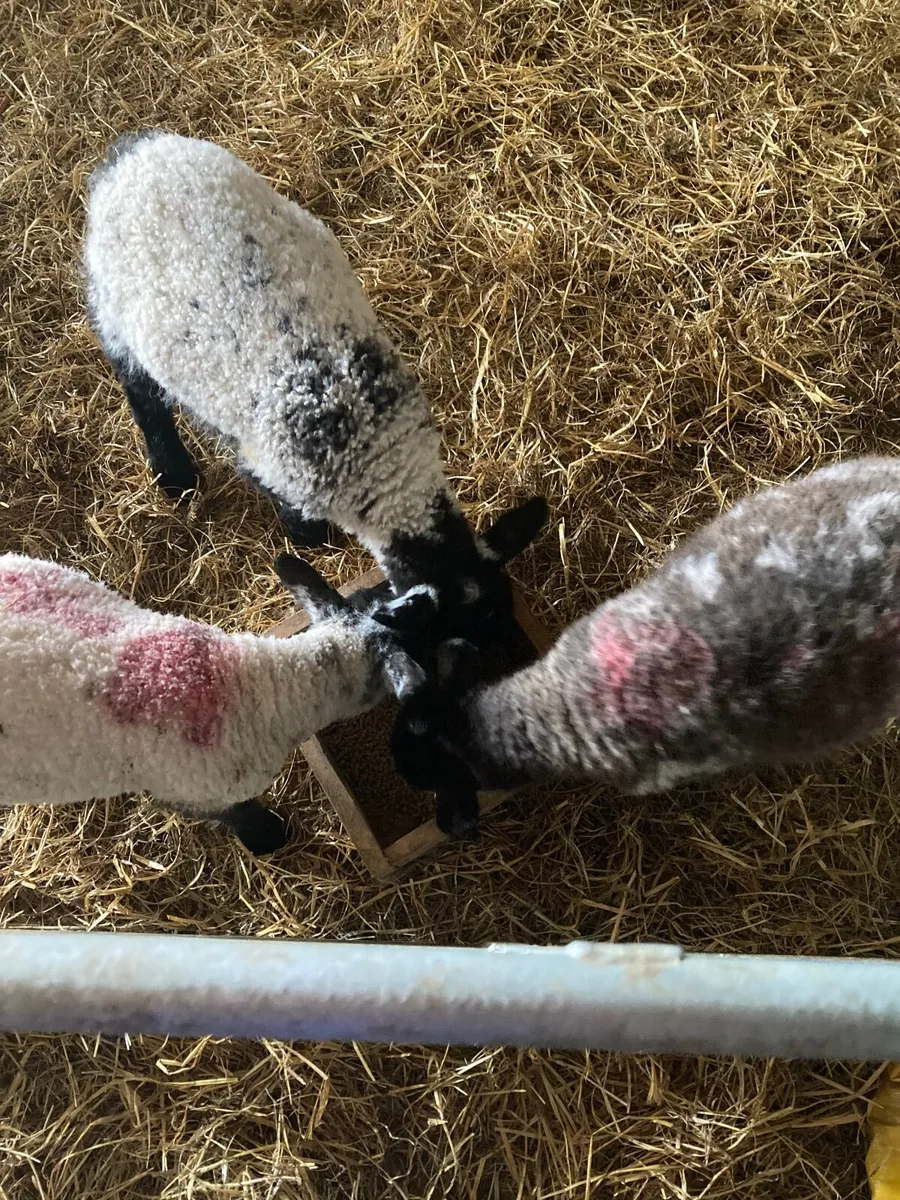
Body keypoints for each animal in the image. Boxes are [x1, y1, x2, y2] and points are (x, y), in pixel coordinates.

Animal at [83, 130, 547, 648]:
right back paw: (174, 474)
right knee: (139, 387)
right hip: (112, 305)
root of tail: (129, 150)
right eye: (458, 634)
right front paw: (306, 536)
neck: (378, 452)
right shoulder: (269, 464)